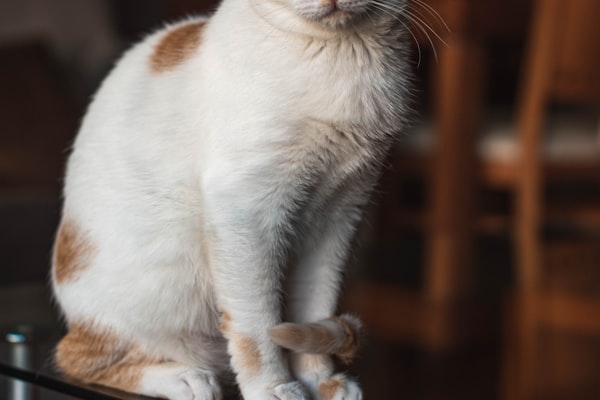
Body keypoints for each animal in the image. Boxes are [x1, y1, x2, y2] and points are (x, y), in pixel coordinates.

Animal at [50, 0, 412, 396]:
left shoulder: (339, 215)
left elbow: (315, 304)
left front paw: (319, 380)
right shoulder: (246, 211)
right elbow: (258, 325)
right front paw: (274, 388)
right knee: (77, 357)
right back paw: (185, 378)